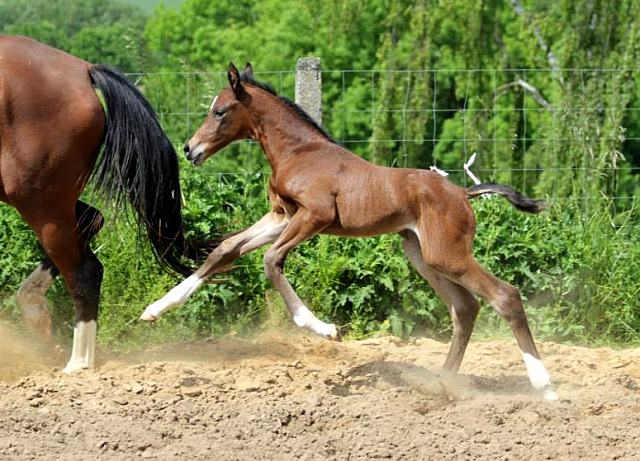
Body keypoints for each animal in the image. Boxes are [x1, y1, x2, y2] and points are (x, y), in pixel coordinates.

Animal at [0, 36, 216, 374]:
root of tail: (83, 70)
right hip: (45, 198)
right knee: (92, 220)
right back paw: (35, 308)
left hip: (38, 199)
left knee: (85, 270)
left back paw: (77, 363)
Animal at [142, 62, 556, 398]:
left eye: (220, 111)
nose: (190, 149)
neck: (299, 152)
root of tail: (463, 192)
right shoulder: (280, 216)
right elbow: (225, 249)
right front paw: (156, 309)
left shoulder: (315, 215)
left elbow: (271, 261)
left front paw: (326, 330)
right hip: (422, 255)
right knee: (465, 308)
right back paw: (441, 386)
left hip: (447, 254)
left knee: (505, 296)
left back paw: (544, 387)